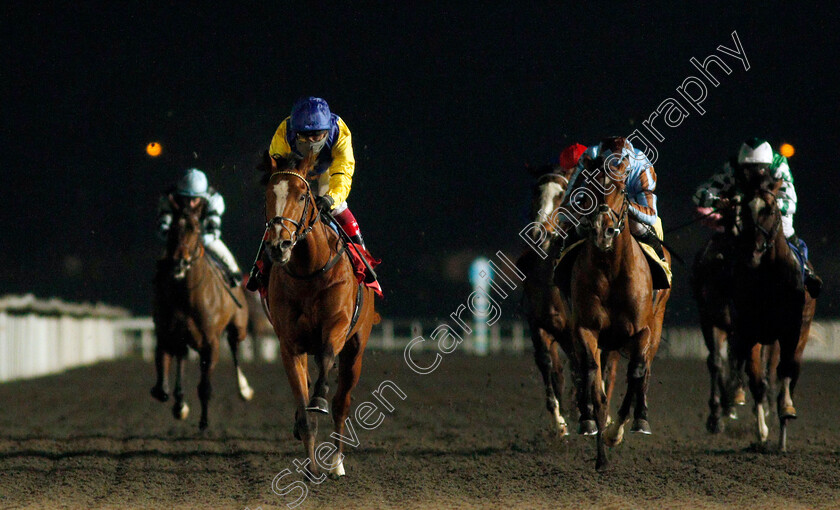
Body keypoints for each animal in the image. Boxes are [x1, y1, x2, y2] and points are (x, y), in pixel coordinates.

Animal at [152, 199, 253, 430]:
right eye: (172, 228)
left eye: (196, 229)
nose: (179, 262)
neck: (186, 295)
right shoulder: (167, 336)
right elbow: (162, 388)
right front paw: (177, 402)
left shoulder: (210, 343)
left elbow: (205, 386)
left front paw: (204, 421)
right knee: (181, 357)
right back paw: (180, 403)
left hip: (239, 328)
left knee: (234, 346)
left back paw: (244, 389)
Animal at [260, 147, 378, 478]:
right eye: (268, 195)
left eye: (303, 196)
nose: (279, 245)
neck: (308, 271)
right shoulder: (290, 346)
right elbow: (304, 412)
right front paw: (310, 467)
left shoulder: (336, 327)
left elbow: (325, 364)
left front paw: (319, 398)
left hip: (356, 349)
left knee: (342, 403)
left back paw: (337, 461)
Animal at [556, 139, 672, 470]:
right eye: (589, 190)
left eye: (621, 191)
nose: (603, 230)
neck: (611, 270)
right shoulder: (586, 330)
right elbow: (594, 382)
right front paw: (600, 451)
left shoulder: (642, 331)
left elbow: (635, 375)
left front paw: (615, 433)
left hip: (656, 325)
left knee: (643, 372)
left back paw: (640, 418)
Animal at [736, 168, 812, 450]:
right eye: (745, 209)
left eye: (769, 209)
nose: (754, 253)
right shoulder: (749, 332)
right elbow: (756, 378)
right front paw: (762, 432)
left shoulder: (790, 331)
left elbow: (785, 371)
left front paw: (786, 412)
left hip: (801, 332)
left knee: (790, 370)